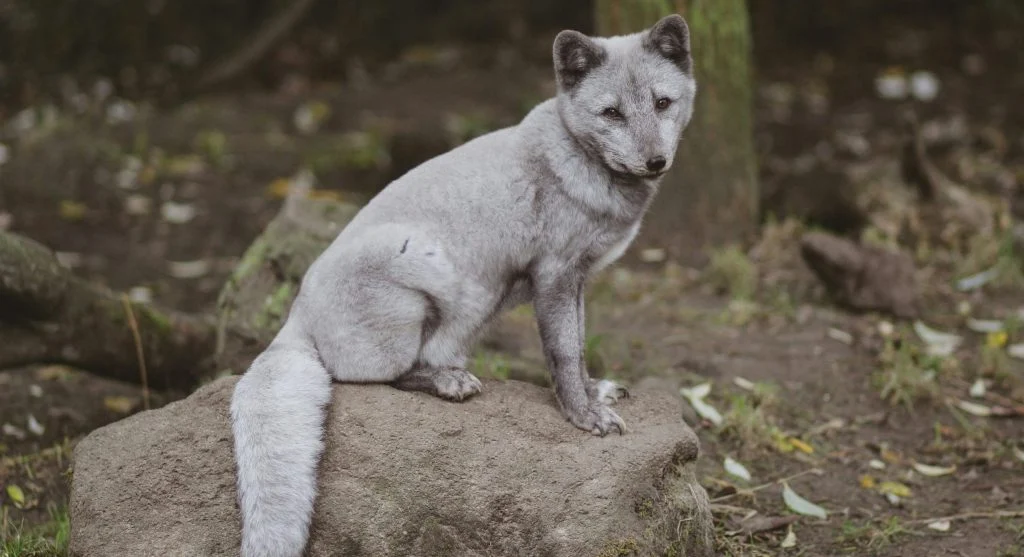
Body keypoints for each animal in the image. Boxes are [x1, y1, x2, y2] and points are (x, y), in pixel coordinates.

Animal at [229, 13, 696, 557]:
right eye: (612, 113)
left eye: (662, 103)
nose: (655, 161)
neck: (575, 159)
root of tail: (295, 314)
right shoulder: (554, 275)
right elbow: (562, 353)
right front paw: (583, 417)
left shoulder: (577, 280)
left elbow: (578, 349)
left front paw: (592, 392)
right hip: (433, 274)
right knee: (371, 376)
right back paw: (447, 381)